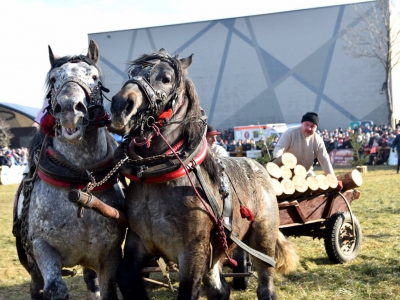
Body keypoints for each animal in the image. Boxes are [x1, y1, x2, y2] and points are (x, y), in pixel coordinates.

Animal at [14, 40, 124, 300]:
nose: (69, 109)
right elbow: (55, 288)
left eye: (94, 77)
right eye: (54, 79)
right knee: (37, 287)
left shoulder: (111, 255)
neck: (80, 179)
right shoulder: (41, 247)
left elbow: (106, 290)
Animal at [111, 48, 298, 298]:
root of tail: (259, 167)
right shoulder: (139, 240)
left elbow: (188, 290)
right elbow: (126, 276)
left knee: (265, 281)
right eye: (133, 73)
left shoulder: (193, 251)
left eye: (166, 78)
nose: (121, 105)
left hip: (262, 237)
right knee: (220, 289)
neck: (160, 176)